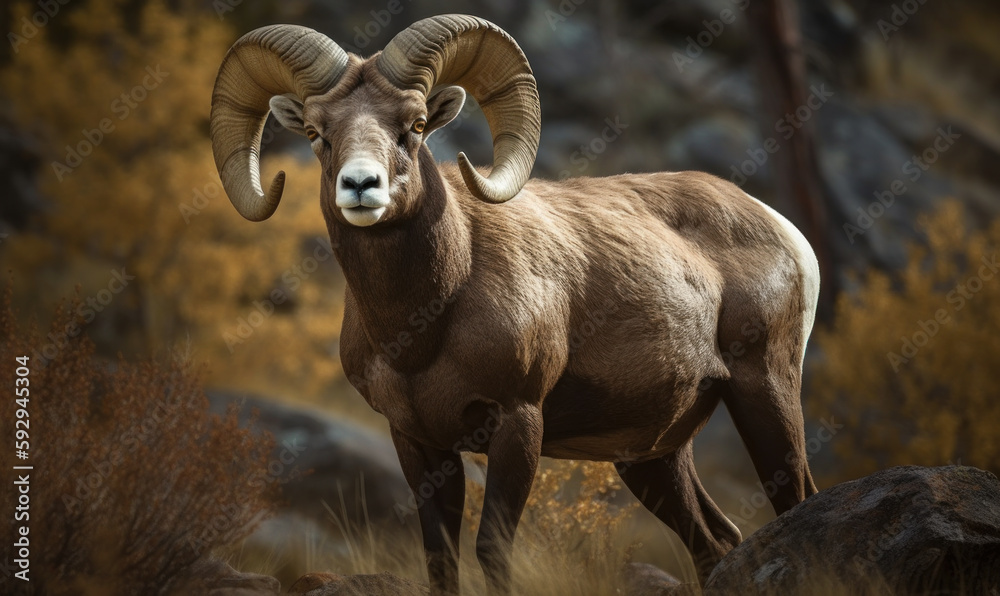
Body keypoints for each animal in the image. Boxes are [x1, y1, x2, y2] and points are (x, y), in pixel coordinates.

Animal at [210, 14, 820, 594]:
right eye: (318, 132)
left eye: (415, 125)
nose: (361, 186)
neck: (420, 332)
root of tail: (780, 227)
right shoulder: (418, 443)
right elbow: (441, 558)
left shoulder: (517, 422)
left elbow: (492, 549)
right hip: (653, 456)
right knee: (716, 543)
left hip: (764, 391)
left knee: (796, 499)